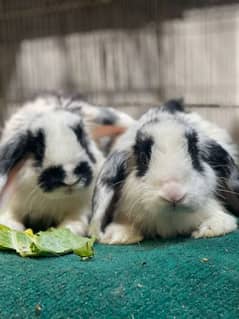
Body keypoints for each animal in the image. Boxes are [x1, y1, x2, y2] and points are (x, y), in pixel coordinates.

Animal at [0, 93, 134, 235]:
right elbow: (9, 217)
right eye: (38, 149)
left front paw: (66, 230)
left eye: (83, 141)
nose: (70, 179)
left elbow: (74, 224)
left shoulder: (80, 208)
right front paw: (12, 227)